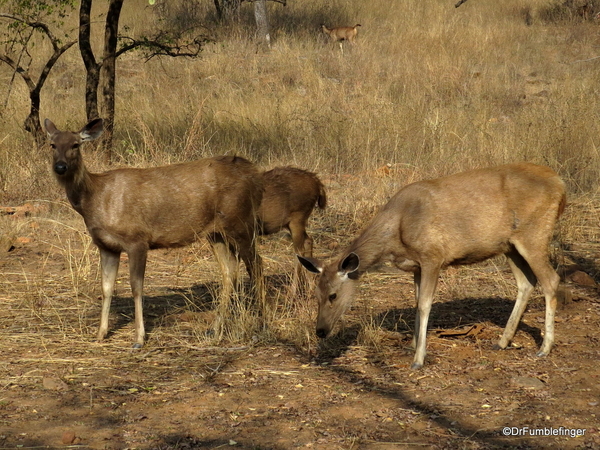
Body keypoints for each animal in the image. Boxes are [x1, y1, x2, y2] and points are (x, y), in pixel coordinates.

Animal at [44, 118, 264, 346]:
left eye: (75, 145)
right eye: (52, 145)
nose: (60, 167)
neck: (95, 198)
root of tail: (255, 175)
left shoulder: (137, 240)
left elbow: (136, 287)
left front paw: (139, 338)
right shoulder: (106, 246)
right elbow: (106, 288)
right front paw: (100, 333)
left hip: (241, 222)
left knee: (256, 265)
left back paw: (261, 323)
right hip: (216, 233)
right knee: (230, 270)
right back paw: (215, 329)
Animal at [300, 163, 568, 368]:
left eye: (333, 295)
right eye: (315, 294)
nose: (320, 330)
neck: (397, 230)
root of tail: (560, 184)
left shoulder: (433, 257)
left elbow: (425, 305)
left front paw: (419, 358)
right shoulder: (416, 267)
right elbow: (417, 302)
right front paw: (412, 346)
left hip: (534, 234)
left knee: (551, 280)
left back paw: (545, 347)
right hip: (509, 245)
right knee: (526, 282)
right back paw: (502, 341)